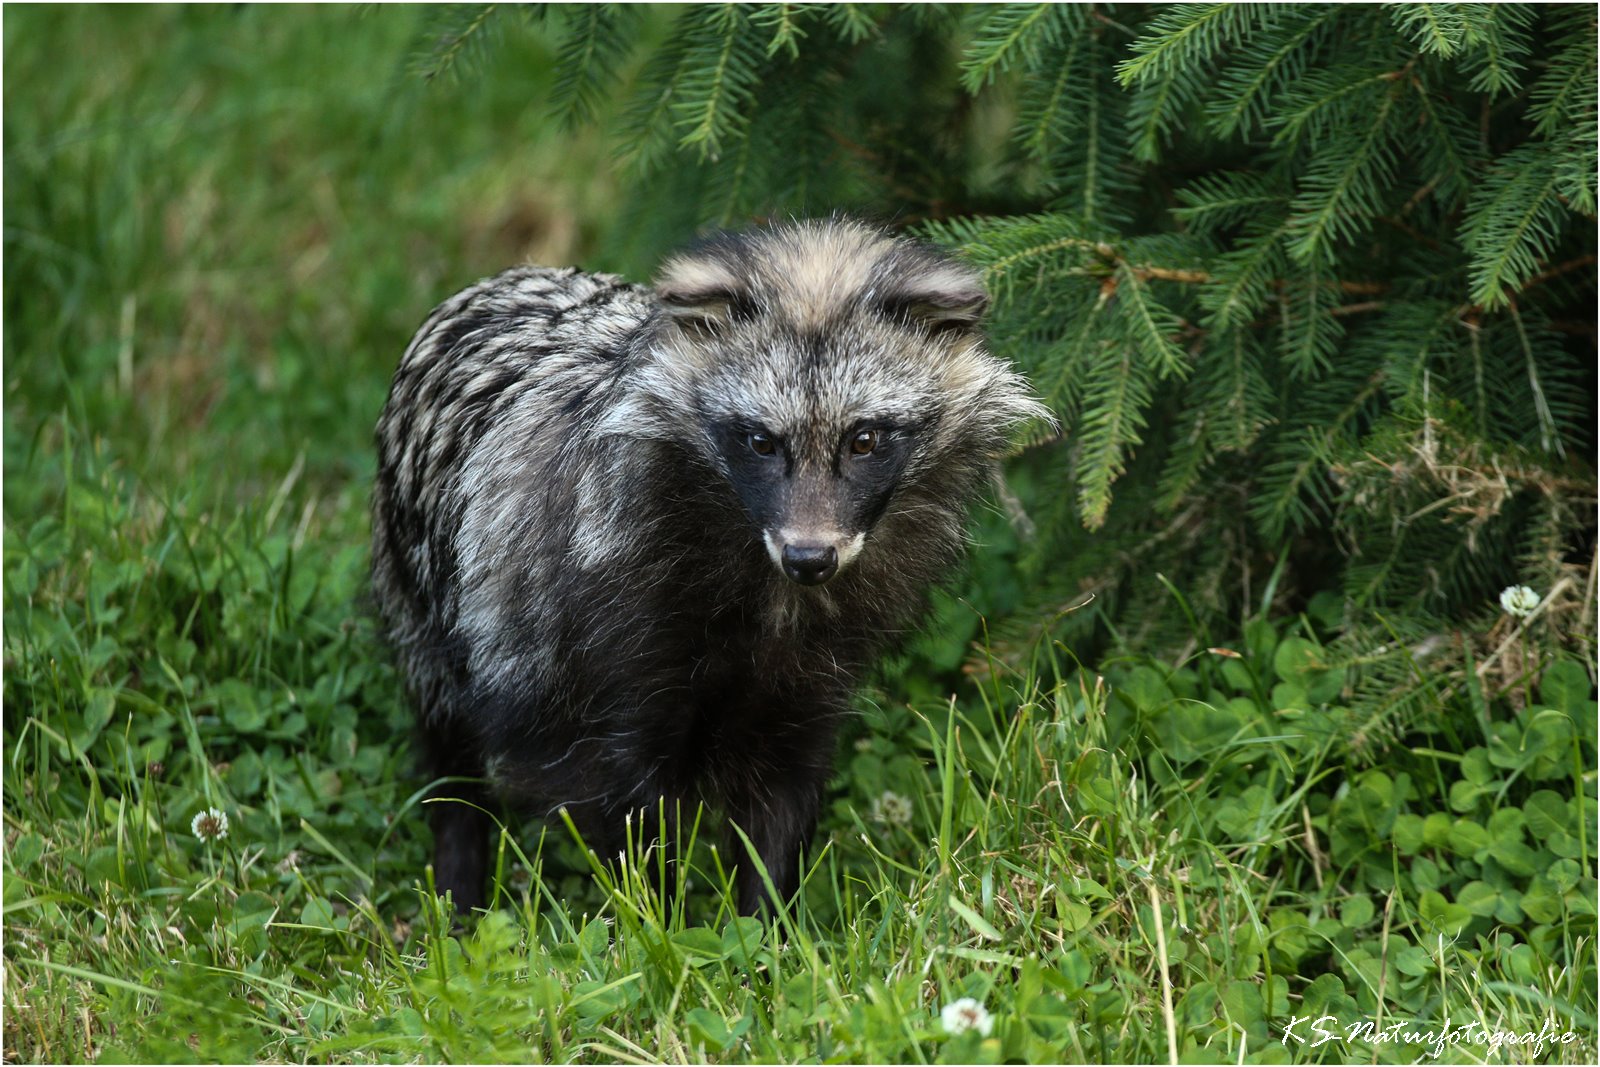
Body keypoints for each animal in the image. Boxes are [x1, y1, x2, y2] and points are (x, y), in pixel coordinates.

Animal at [369, 219, 1056, 921]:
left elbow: (783, 798)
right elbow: (628, 813)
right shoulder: (612, 632)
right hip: (433, 602)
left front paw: (771, 927)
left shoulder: (814, 673)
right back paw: (458, 887)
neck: (772, 591)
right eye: (761, 441)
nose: (810, 558)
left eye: (863, 439)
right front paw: (658, 927)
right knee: (453, 756)